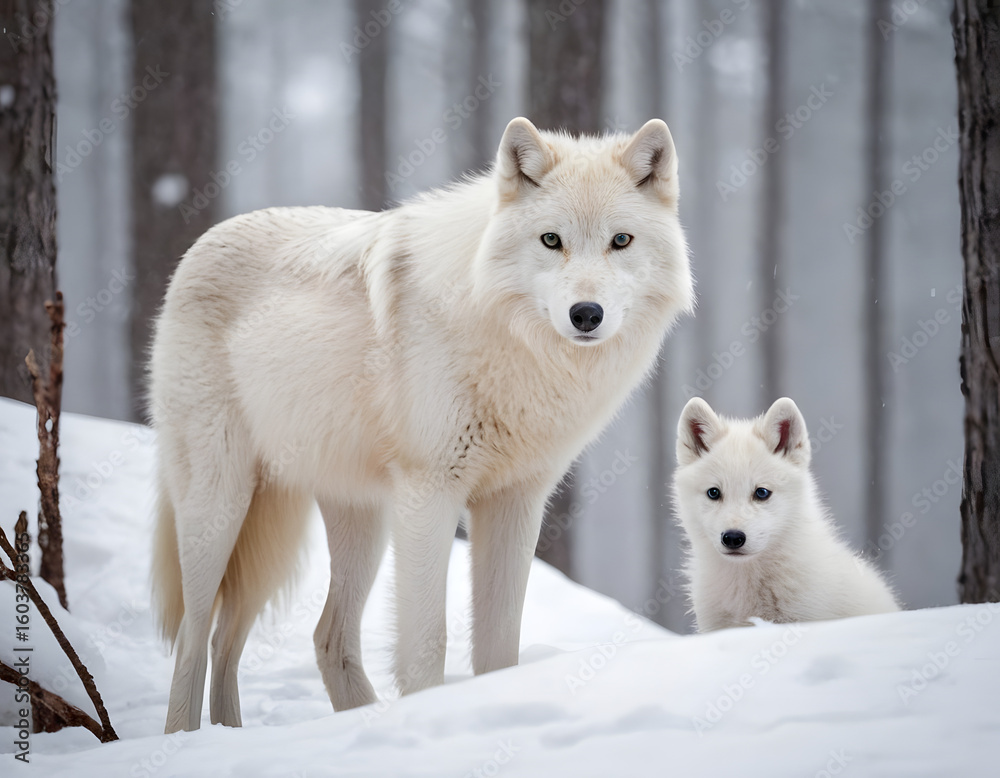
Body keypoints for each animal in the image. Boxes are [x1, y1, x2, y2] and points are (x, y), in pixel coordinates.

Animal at [150, 117, 693, 732]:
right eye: (551, 240)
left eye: (620, 241)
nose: (586, 315)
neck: (508, 349)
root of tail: (201, 243)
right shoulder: (430, 494)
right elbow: (427, 644)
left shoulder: (514, 501)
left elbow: (500, 647)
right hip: (220, 509)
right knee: (194, 640)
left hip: (348, 523)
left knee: (300, 638)